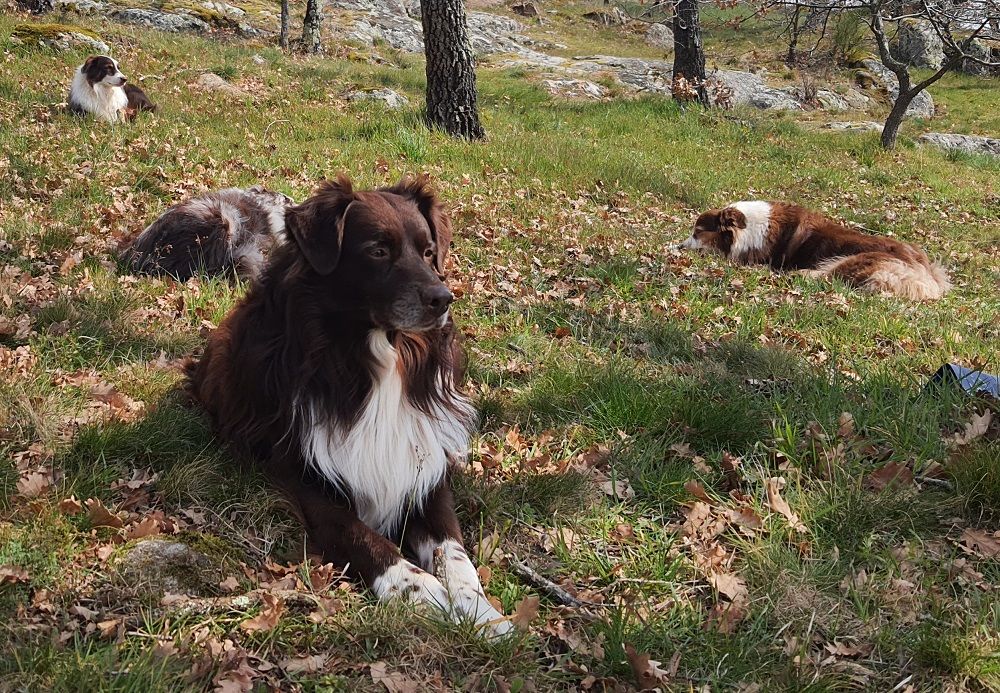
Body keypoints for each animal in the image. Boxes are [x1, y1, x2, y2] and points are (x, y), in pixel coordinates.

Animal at [187, 174, 512, 636]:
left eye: (428, 252)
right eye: (378, 250)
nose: (443, 299)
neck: (376, 358)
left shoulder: (426, 473)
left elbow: (454, 550)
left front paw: (479, 609)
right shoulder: (311, 481)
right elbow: (365, 538)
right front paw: (424, 592)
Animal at [680, 199, 952, 298]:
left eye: (697, 232)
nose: (680, 246)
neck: (749, 228)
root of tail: (927, 271)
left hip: (858, 260)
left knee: (828, 277)